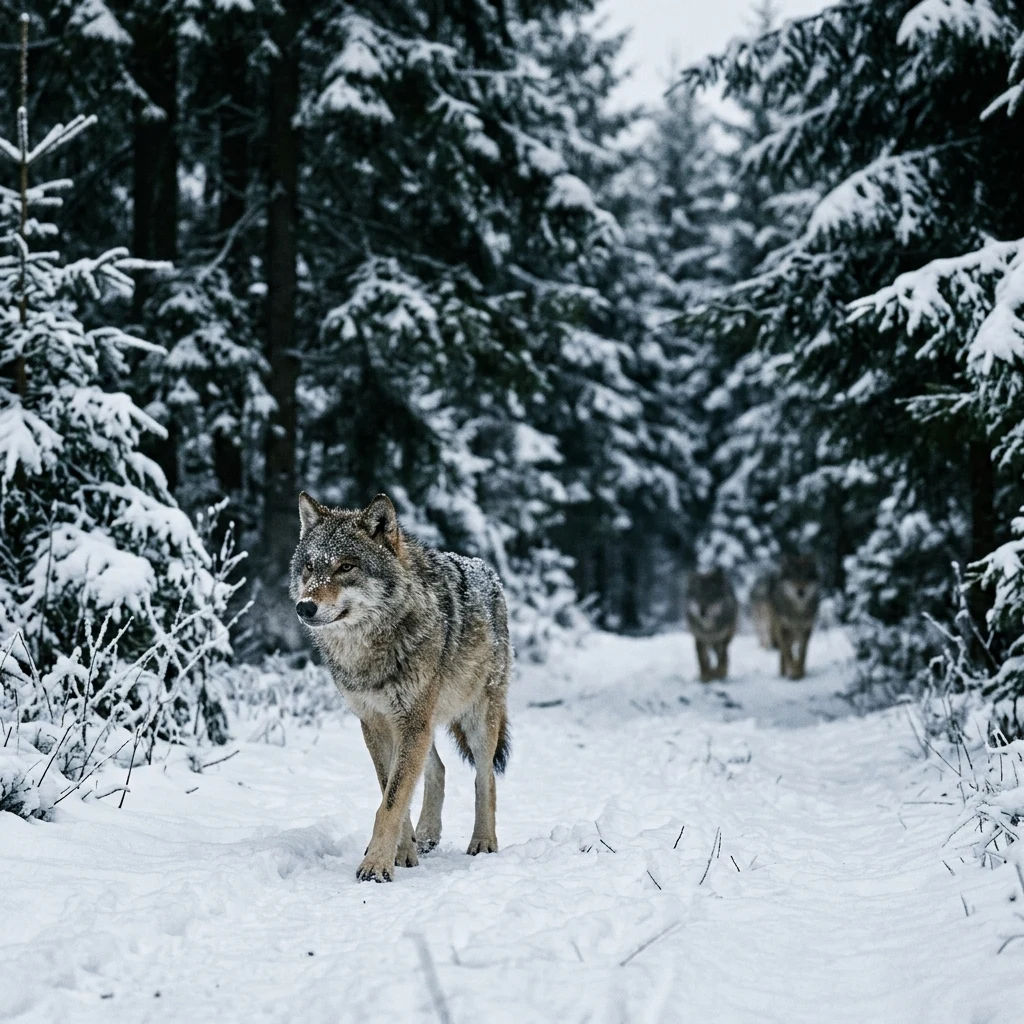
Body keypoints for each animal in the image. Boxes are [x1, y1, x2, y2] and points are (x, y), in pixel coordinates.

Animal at [290, 492, 512, 883]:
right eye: (310, 567)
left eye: (346, 567)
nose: (305, 607)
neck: (368, 652)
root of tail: (487, 571)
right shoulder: (376, 723)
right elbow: (390, 791)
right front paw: (403, 852)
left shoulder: (410, 722)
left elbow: (391, 801)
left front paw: (376, 866)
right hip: (423, 725)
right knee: (438, 769)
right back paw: (425, 836)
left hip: (476, 721)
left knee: (484, 779)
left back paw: (483, 842)